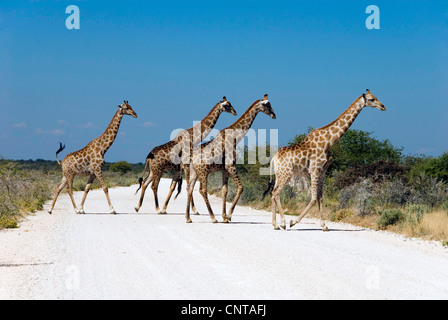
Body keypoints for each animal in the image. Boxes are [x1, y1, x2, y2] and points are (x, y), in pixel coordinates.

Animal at [186, 94, 276, 224]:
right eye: (267, 105)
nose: (274, 115)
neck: (235, 137)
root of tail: (191, 158)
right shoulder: (231, 165)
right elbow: (241, 187)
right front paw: (228, 216)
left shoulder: (224, 169)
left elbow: (225, 190)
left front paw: (224, 217)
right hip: (203, 172)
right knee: (202, 190)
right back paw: (213, 217)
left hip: (194, 172)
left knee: (189, 189)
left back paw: (188, 218)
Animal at [264, 90, 386, 230]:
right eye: (372, 99)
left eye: (376, 97)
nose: (383, 107)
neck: (329, 142)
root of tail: (274, 158)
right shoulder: (314, 170)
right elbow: (313, 198)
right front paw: (293, 221)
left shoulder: (322, 172)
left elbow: (320, 197)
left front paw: (324, 225)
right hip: (287, 174)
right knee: (276, 193)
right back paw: (283, 223)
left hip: (279, 174)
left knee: (273, 192)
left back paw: (275, 224)